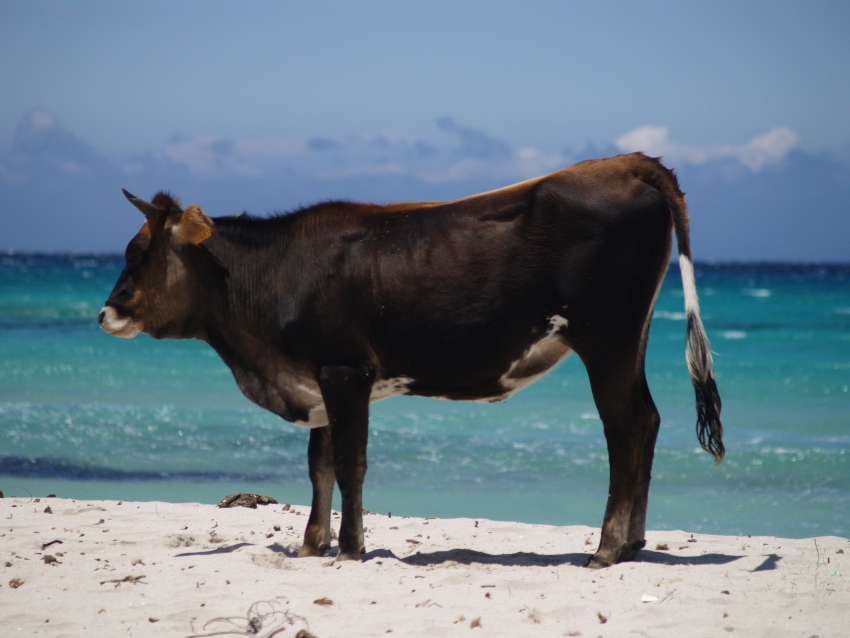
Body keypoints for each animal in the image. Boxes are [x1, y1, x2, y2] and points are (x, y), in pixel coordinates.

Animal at [99, 154, 724, 568]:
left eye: (139, 252)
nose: (106, 312)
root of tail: (625, 162)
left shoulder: (344, 370)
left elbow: (349, 464)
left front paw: (350, 550)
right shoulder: (318, 380)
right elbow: (318, 466)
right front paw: (311, 544)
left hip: (605, 338)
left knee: (626, 427)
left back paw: (607, 547)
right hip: (629, 338)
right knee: (646, 421)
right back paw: (632, 543)